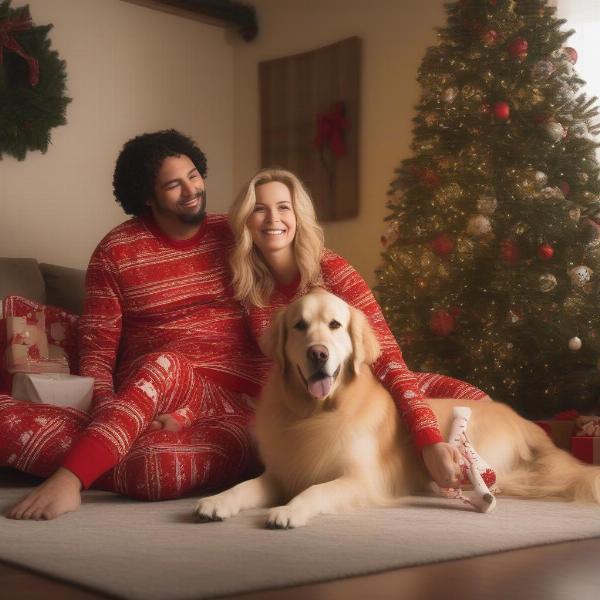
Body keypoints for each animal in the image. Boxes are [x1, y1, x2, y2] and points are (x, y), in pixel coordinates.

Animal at [196, 288, 600, 528]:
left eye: (335, 325)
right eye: (299, 325)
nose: (318, 354)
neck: (317, 412)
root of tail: (520, 417)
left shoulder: (359, 478)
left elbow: (316, 491)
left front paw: (288, 510)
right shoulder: (281, 473)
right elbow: (244, 486)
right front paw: (216, 500)